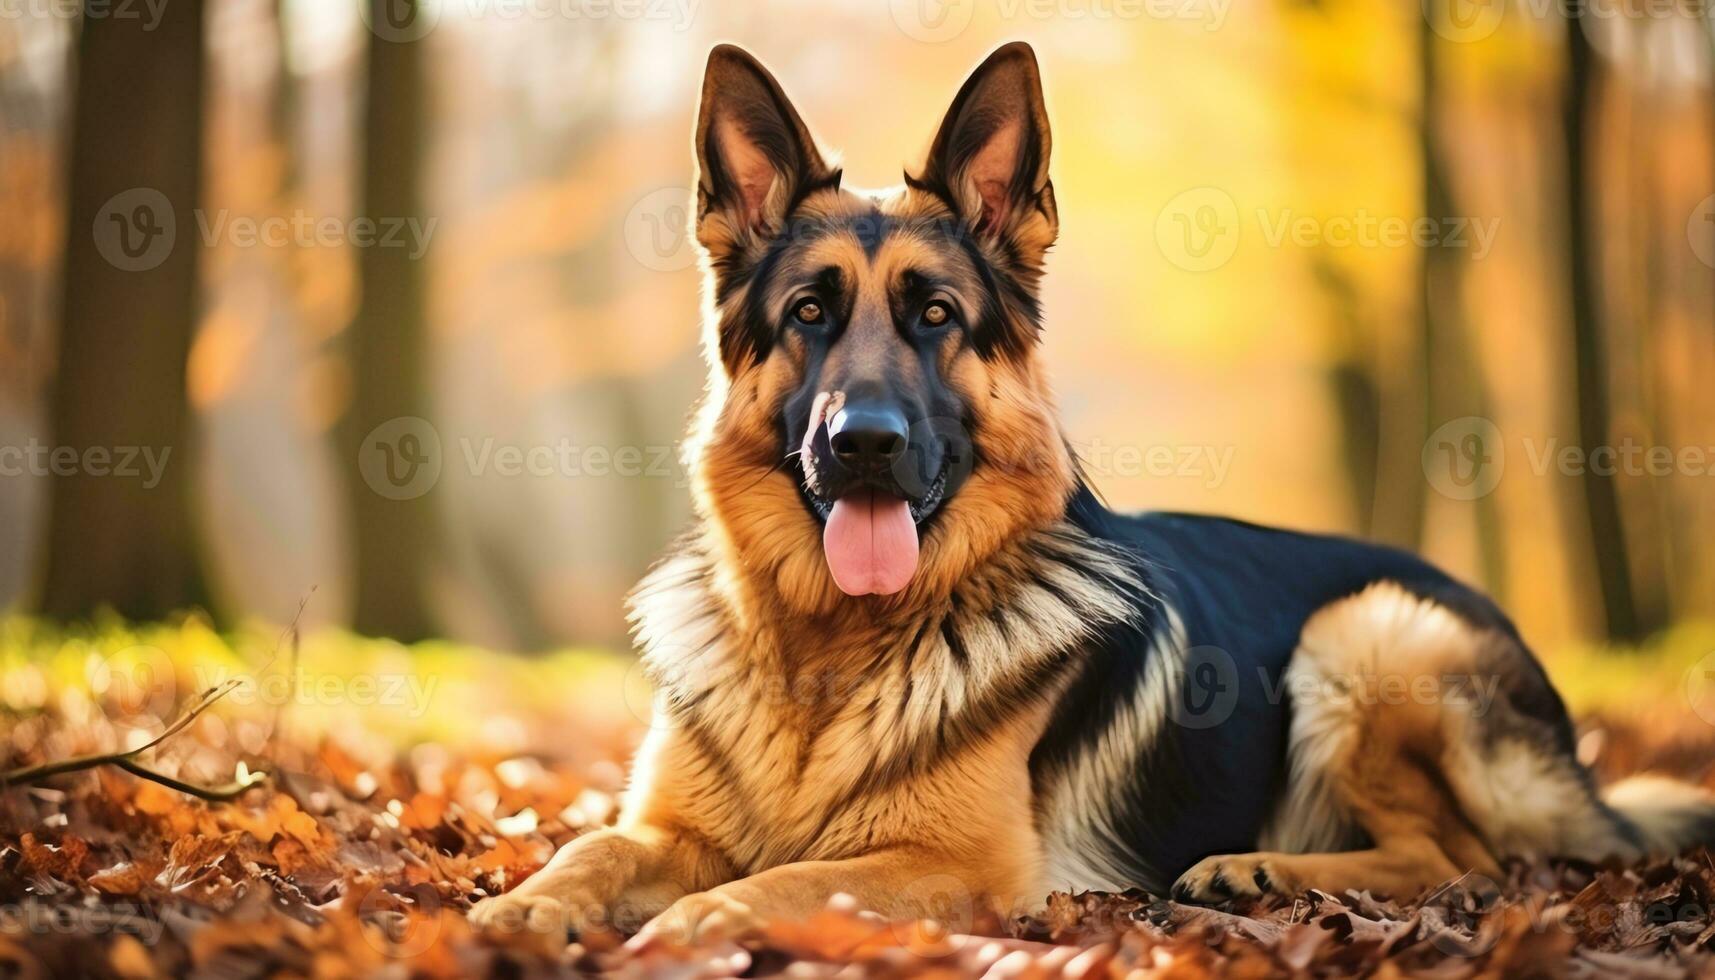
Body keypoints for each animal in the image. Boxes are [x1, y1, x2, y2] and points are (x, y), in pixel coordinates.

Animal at [469, 44, 1715, 940]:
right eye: (808, 314)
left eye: (934, 315)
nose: (864, 444)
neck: (826, 651)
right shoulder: (660, 823)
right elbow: (589, 846)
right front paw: (524, 905)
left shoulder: (951, 862)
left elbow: (768, 884)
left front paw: (683, 925)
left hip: (1366, 628)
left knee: (1459, 856)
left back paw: (1253, 865)